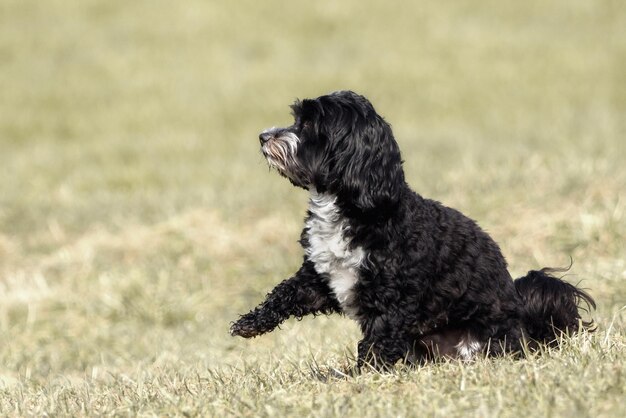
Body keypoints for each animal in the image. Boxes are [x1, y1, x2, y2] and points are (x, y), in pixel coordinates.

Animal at [228, 89, 588, 370]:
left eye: (307, 125)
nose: (263, 136)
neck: (356, 207)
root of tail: (526, 326)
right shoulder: (324, 278)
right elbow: (286, 291)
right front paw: (250, 323)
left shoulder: (393, 296)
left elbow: (377, 339)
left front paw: (363, 375)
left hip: (488, 338)